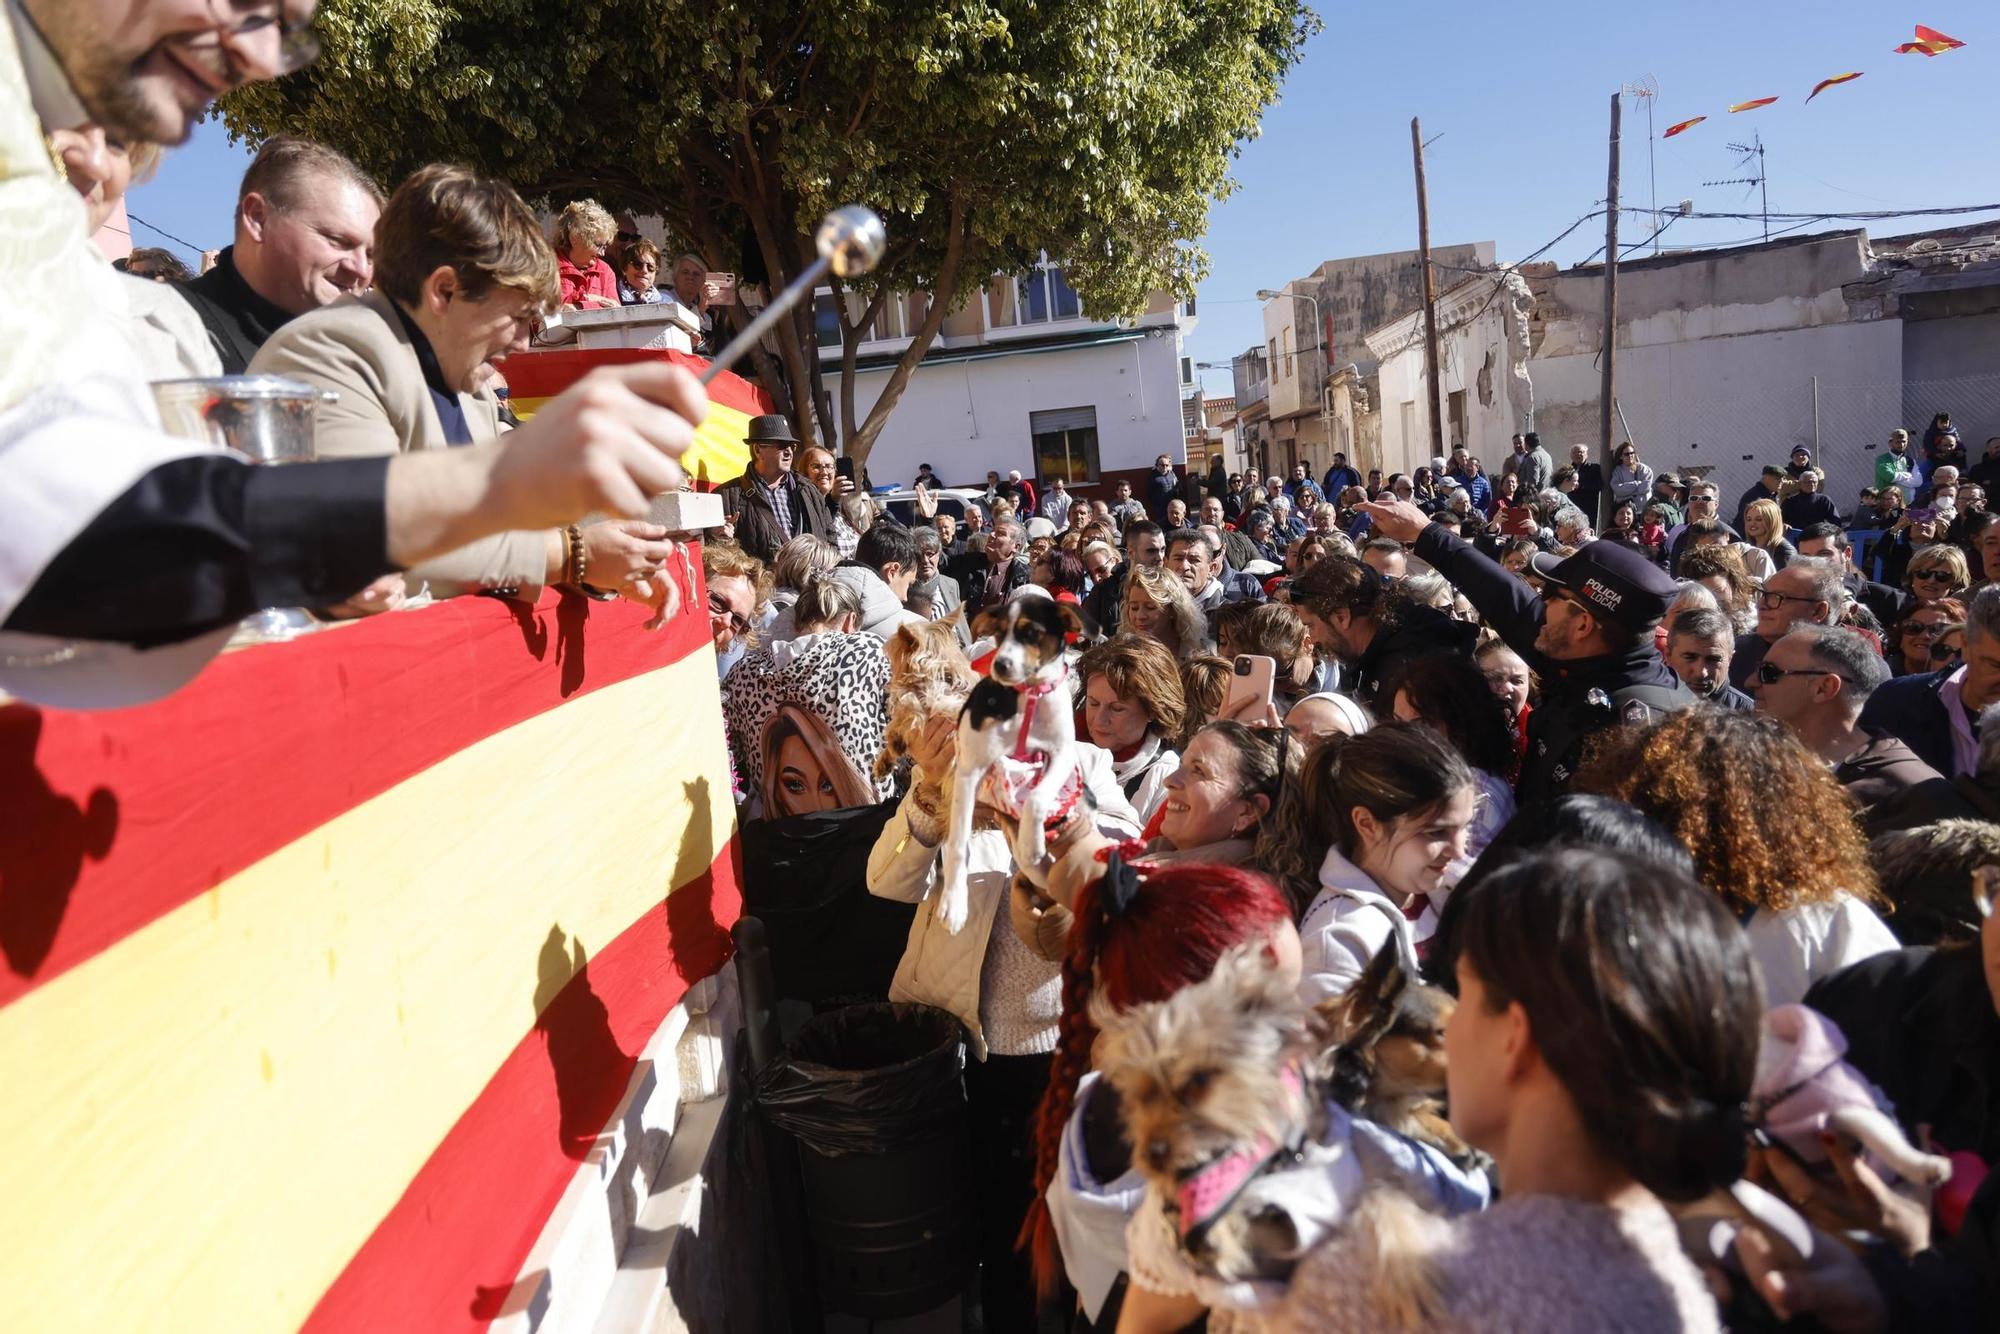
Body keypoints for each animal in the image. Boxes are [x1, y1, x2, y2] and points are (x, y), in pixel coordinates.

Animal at [932, 600, 1088, 936]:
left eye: (1032, 632)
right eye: (999, 634)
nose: (1000, 666)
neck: (1027, 697)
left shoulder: (1062, 754)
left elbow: (1037, 798)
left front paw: (1032, 842)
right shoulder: (970, 772)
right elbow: (958, 845)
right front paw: (954, 903)